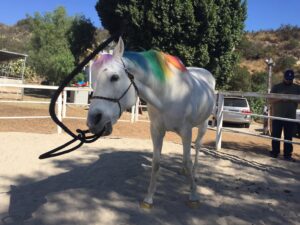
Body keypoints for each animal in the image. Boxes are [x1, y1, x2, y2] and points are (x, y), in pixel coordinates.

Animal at [86, 37, 216, 208]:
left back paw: (194, 174)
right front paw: (149, 198)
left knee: (198, 147)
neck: (168, 94)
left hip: (203, 124)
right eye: (93, 81)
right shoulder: (156, 130)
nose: (93, 121)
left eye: (114, 77)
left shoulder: (186, 131)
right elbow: (156, 163)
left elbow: (187, 160)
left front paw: (193, 195)